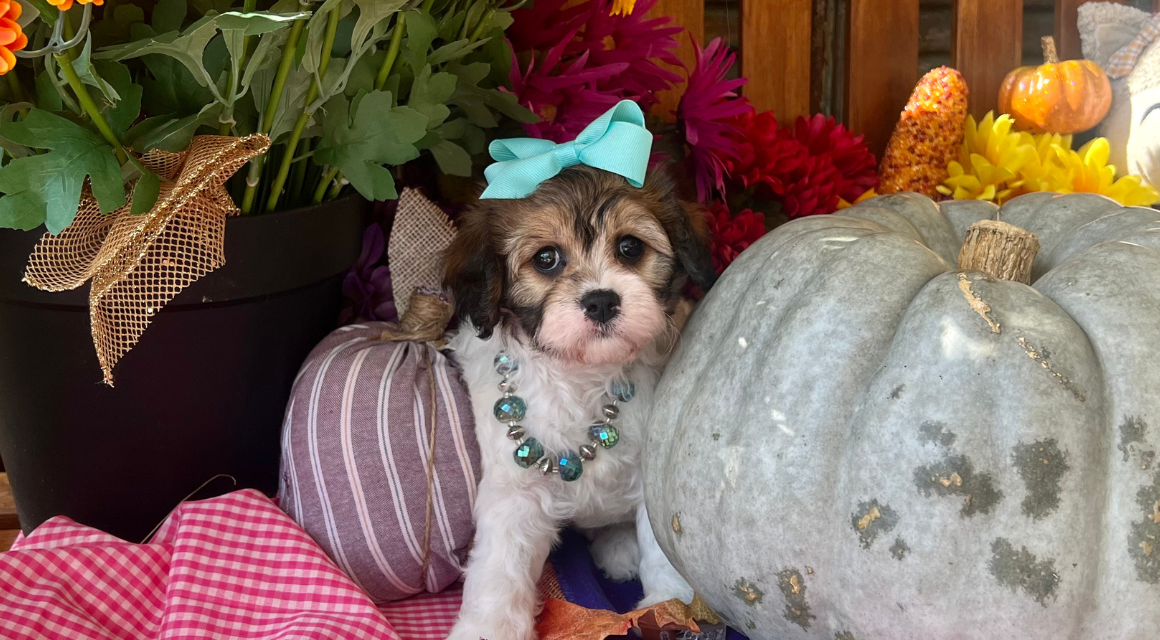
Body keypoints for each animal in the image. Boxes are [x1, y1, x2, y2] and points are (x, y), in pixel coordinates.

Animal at [443, 165, 714, 640]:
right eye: (546, 258)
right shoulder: (515, 491)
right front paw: (488, 627)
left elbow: (663, 547)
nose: (601, 300)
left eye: (630, 247)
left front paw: (671, 606)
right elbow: (499, 568)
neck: (584, 374)